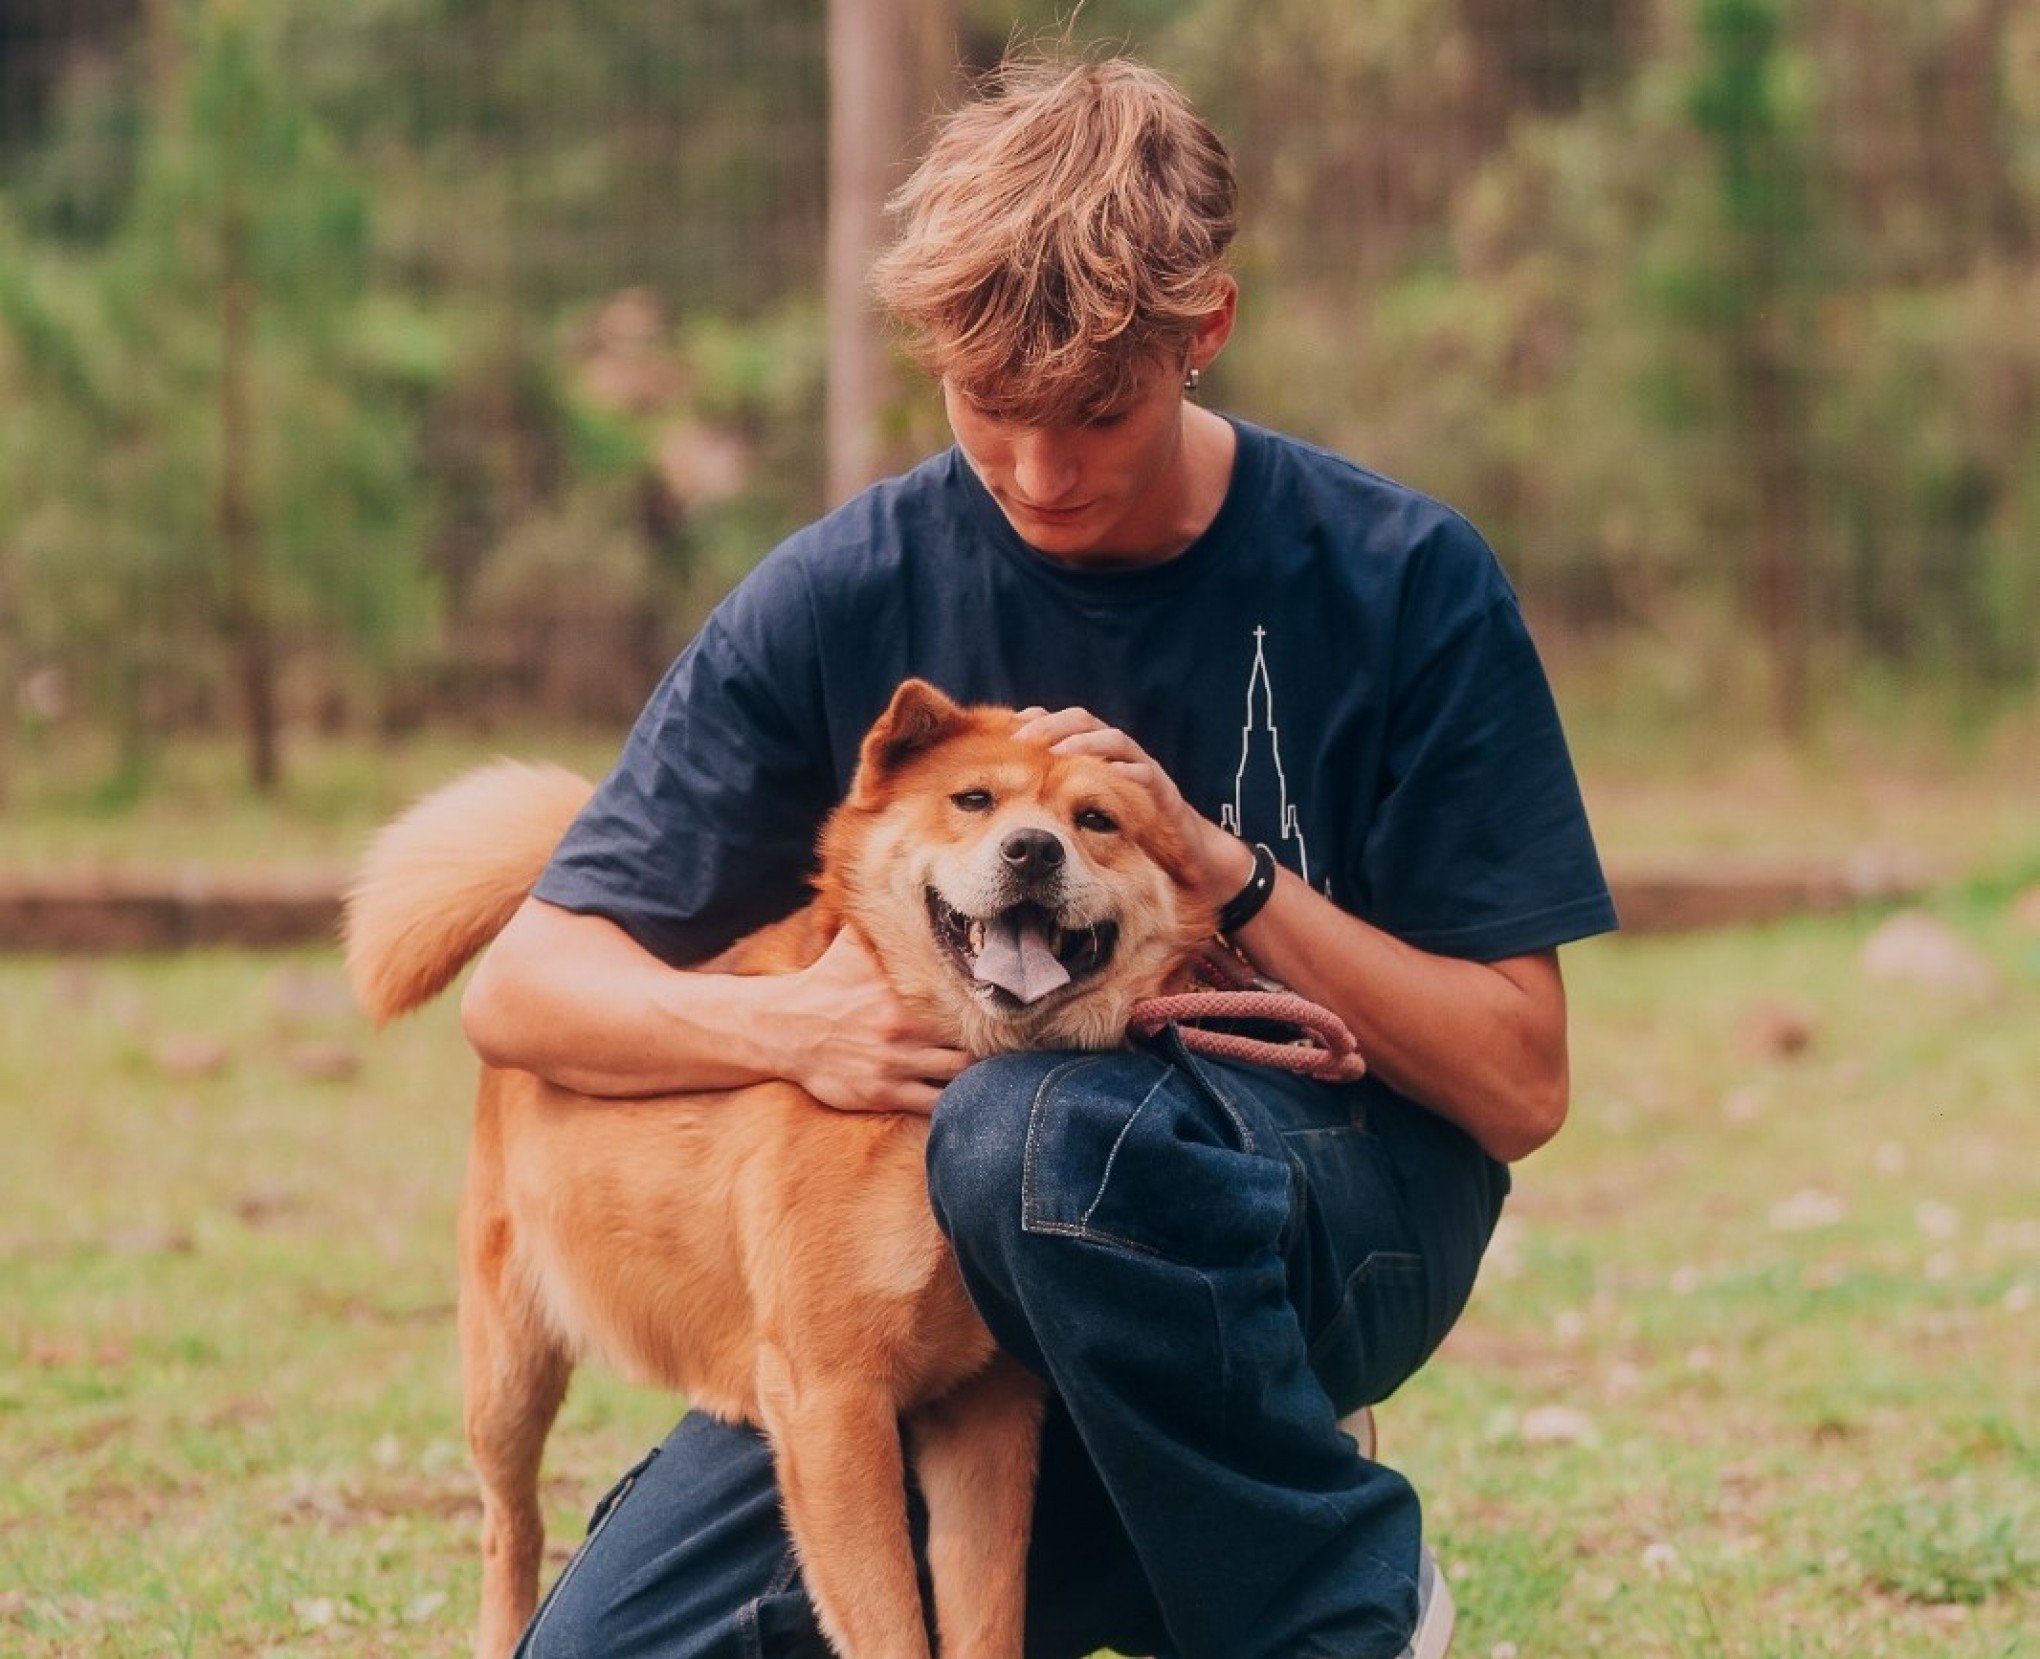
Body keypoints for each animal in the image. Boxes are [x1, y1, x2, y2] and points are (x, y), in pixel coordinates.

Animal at [344, 681, 1215, 1648]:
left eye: (1096, 819)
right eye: (974, 800)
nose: (1033, 848)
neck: (952, 1084)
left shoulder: (985, 1410)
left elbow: (983, 1622)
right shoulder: (831, 1398)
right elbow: (889, 1627)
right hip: (508, 1373)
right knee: (511, 1527)